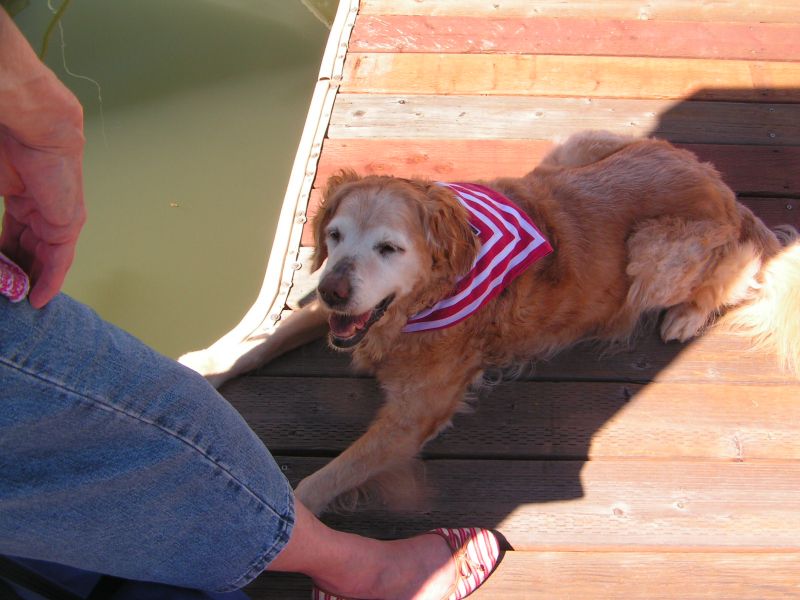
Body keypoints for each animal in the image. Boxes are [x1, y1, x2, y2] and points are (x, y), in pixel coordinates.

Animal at [181, 131, 800, 516]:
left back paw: (687, 315)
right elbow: (268, 340)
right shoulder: (345, 317)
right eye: (334, 236)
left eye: (389, 248)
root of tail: (723, 189)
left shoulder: (413, 417)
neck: (426, 302)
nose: (333, 286)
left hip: (652, 255)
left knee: (740, 270)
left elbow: (321, 479)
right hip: (576, 147)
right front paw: (211, 364)